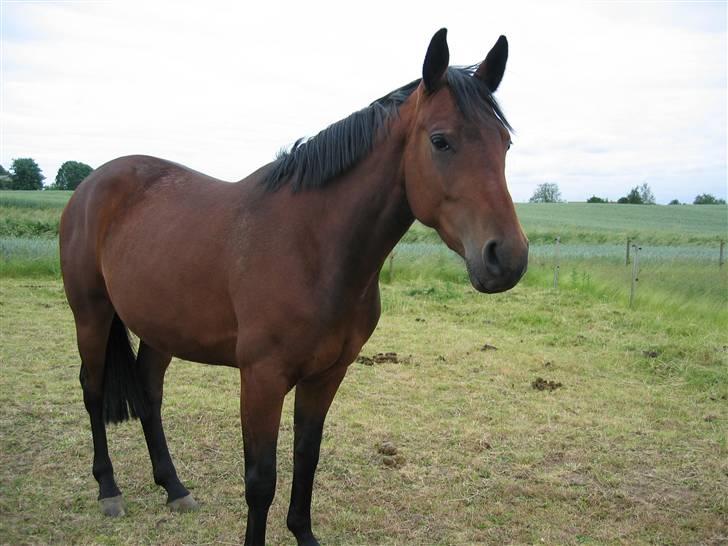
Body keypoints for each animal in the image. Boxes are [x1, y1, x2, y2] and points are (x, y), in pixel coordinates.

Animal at [59, 28, 528, 544]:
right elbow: (261, 479)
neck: (312, 247)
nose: (507, 257)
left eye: (505, 143)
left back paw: (175, 487)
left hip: (161, 328)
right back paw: (108, 490)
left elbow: (307, 457)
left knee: (149, 394)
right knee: (93, 390)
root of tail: (92, 183)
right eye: (441, 141)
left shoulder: (326, 374)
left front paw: (303, 533)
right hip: (91, 315)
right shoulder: (262, 379)